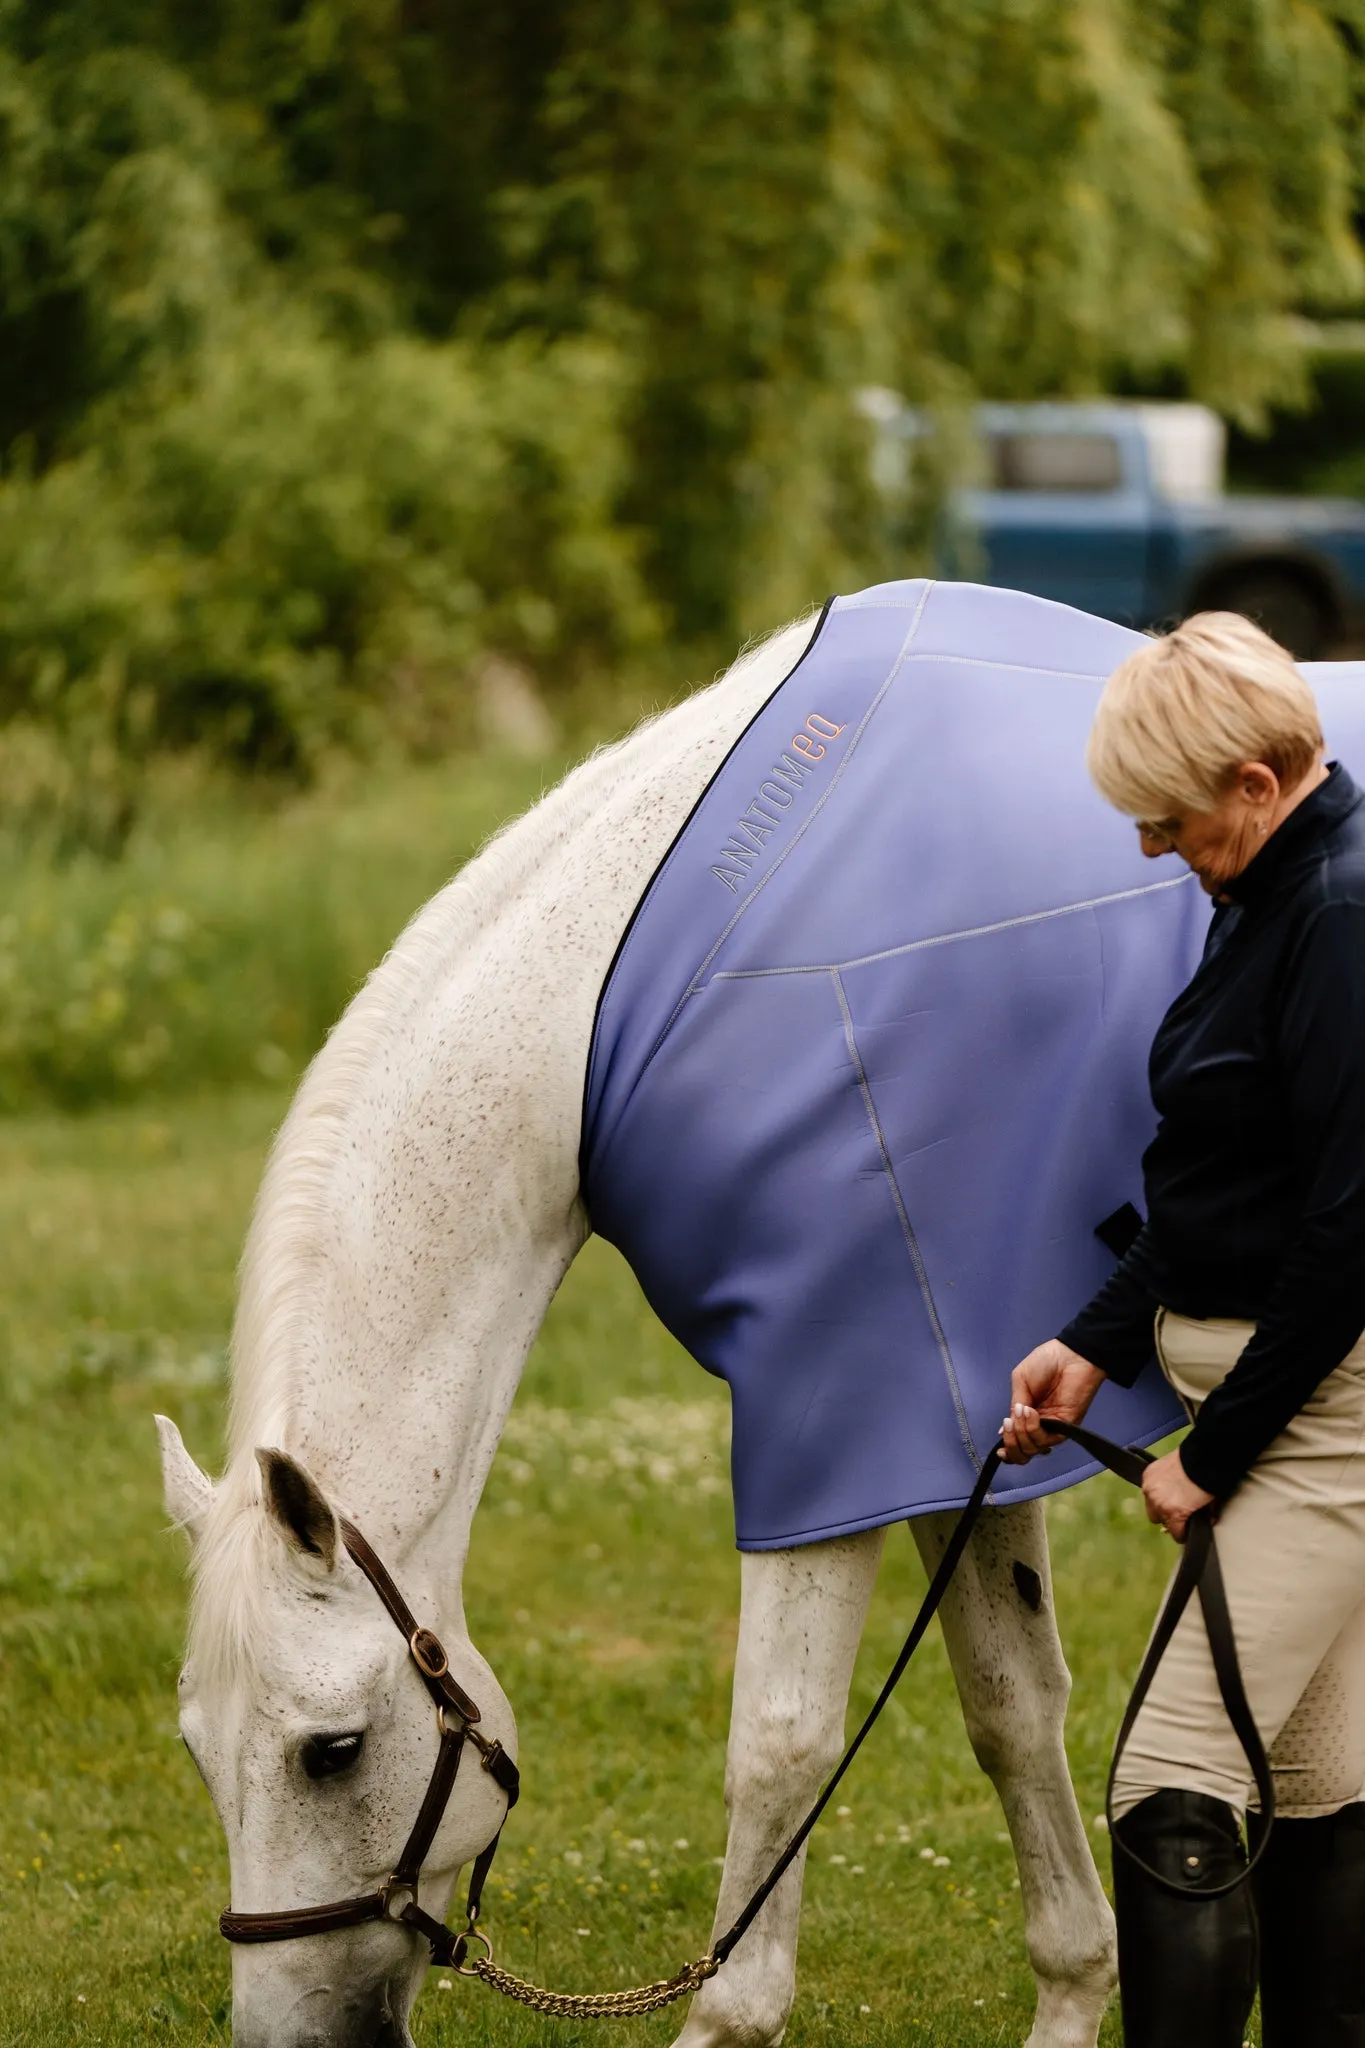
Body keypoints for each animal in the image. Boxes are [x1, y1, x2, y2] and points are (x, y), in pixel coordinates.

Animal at [160, 614, 1121, 2048]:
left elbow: (782, 1741)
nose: (290, 2042)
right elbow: (1014, 1704)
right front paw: (1071, 1989)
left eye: (331, 1752)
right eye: (196, 1749)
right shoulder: (961, 1421)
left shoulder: (837, 1416)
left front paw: (729, 2011)